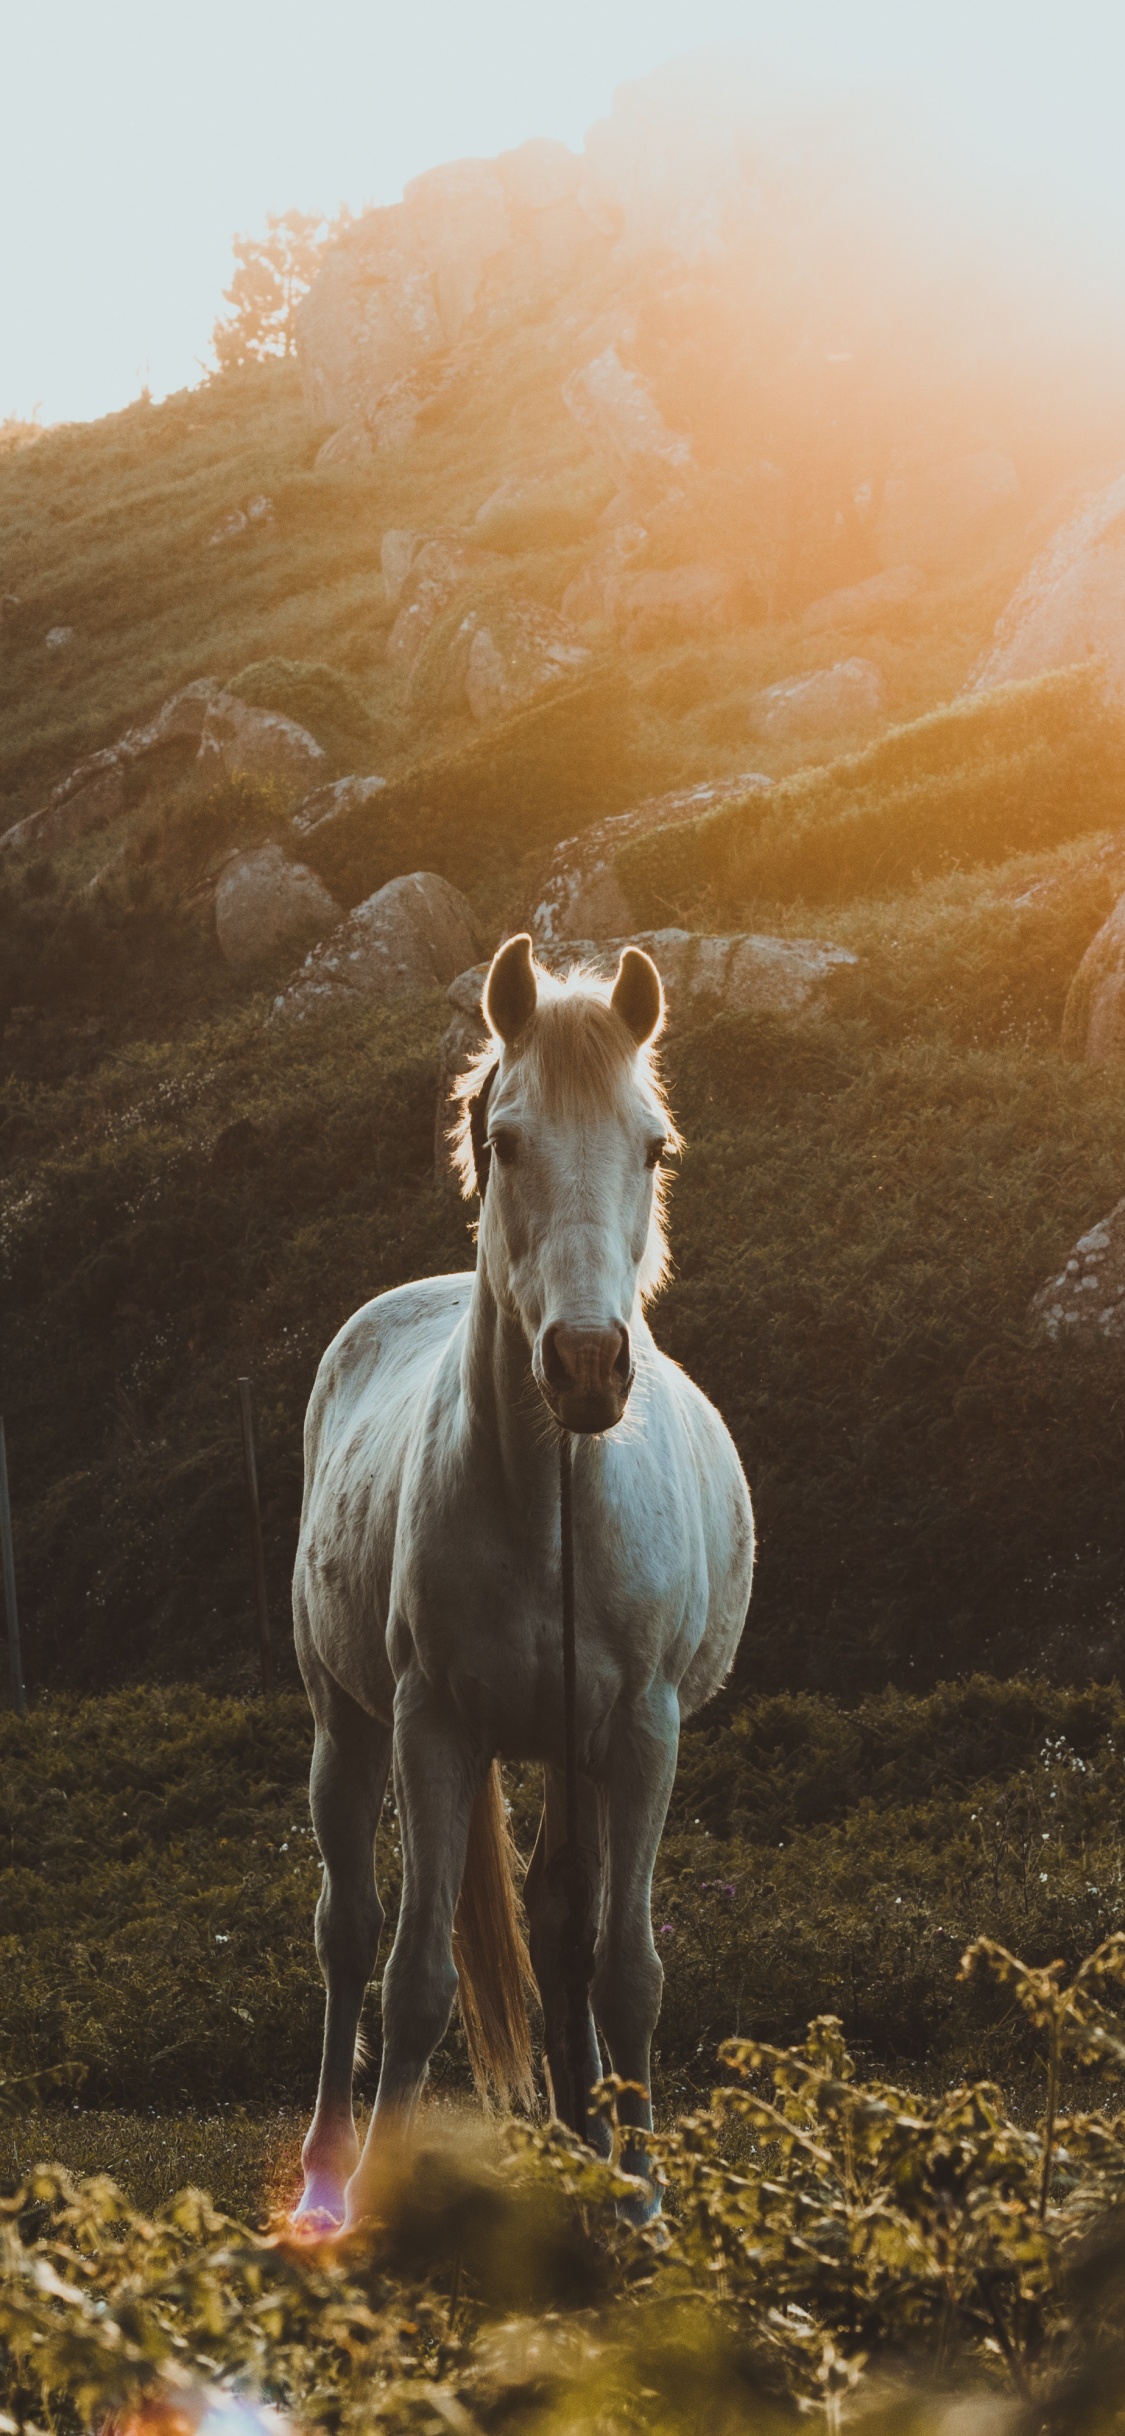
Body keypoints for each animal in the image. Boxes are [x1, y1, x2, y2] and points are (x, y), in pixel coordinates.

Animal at [292, 932, 754, 2228]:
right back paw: (325, 2176)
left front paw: (641, 2200)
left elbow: (626, 1970)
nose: (589, 1365)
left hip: (572, 1752)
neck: (551, 1504)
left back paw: (585, 2150)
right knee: (348, 1934)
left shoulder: (641, 1733)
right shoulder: (434, 1727)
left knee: (560, 1934)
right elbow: (414, 1980)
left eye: (653, 1146)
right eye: (505, 1142)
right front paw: (380, 2206)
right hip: (346, 1725)